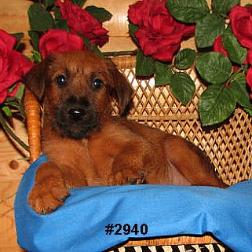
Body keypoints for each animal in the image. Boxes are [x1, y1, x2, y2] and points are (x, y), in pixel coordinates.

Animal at [24, 50, 226, 214]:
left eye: (97, 83)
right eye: (61, 79)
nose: (77, 112)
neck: (84, 139)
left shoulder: (136, 142)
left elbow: (126, 155)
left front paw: (123, 173)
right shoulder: (76, 176)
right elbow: (46, 166)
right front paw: (43, 192)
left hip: (175, 146)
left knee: (214, 186)